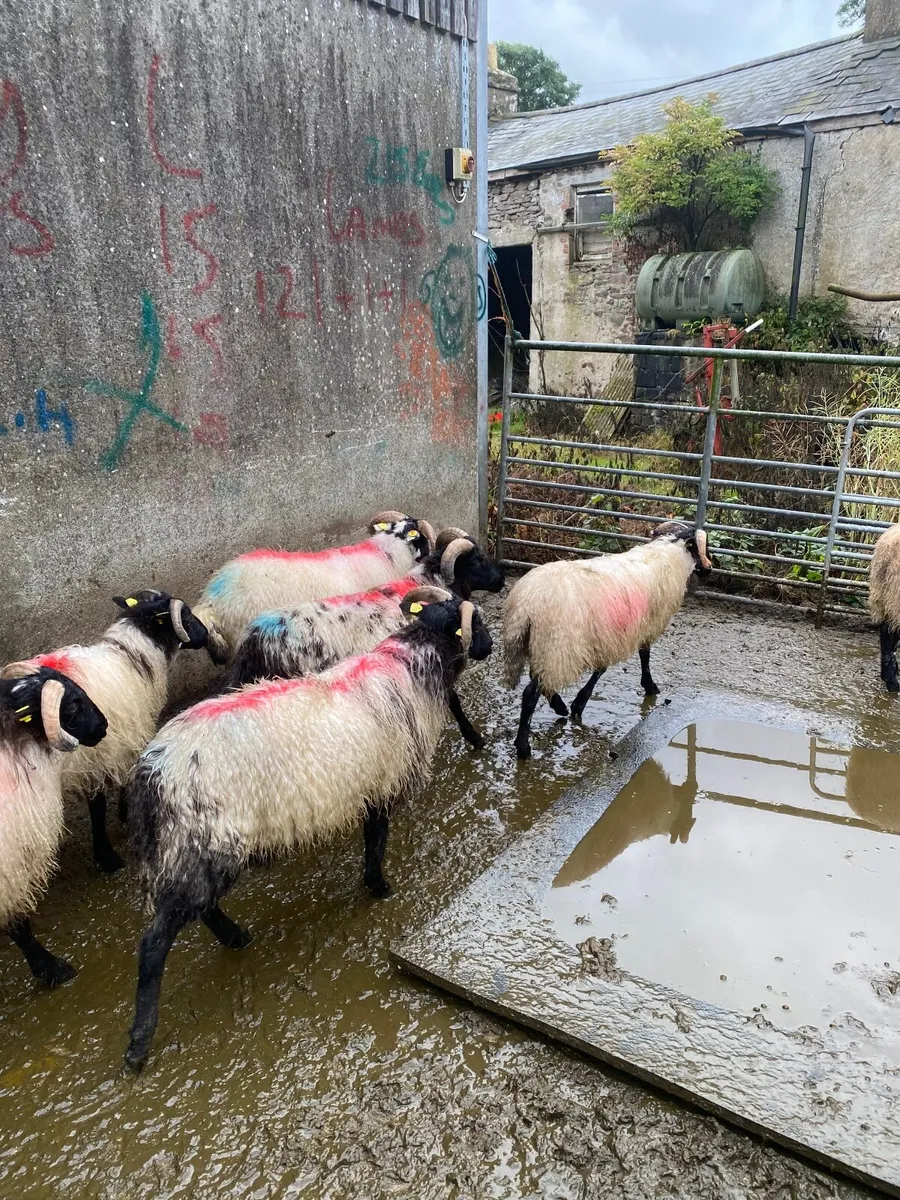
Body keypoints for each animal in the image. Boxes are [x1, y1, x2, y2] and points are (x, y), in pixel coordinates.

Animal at [2, 590, 210, 873]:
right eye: (185, 615)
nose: (206, 634)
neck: (130, 656)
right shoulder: (107, 750)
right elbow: (100, 804)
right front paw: (108, 851)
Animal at [122, 585, 492, 1070]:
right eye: (477, 623)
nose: (490, 646)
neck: (409, 665)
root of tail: (151, 774)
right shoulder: (381, 783)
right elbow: (376, 841)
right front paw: (380, 888)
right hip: (201, 839)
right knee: (155, 943)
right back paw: (139, 1043)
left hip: (193, 847)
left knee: (201, 908)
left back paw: (236, 938)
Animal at [502, 522, 712, 759]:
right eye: (701, 548)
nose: (710, 568)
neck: (669, 554)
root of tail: (527, 603)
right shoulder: (636, 628)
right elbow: (640, 657)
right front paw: (649, 686)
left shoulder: (611, 635)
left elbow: (605, 667)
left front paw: (577, 704)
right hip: (557, 646)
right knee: (531, 693)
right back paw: (523, 746)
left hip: (538, 646)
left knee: (539, 680)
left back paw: (559, 707)